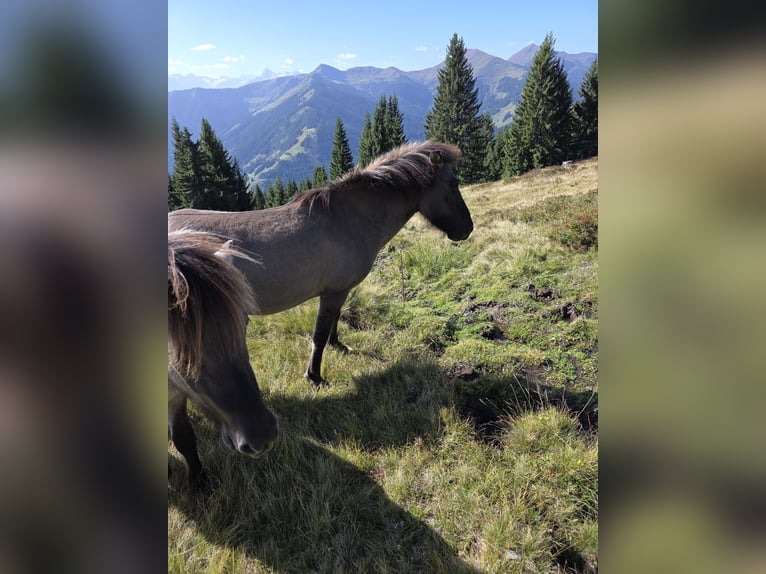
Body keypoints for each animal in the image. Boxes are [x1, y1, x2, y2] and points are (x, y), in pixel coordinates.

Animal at [168, 141, 473, 386]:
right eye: (453, 184)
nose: (467, 229)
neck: (348, 219)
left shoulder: (339, 291)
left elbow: (335, 320)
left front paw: (339, 346)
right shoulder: (333, 291)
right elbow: (319, 333)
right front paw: (314, 376)